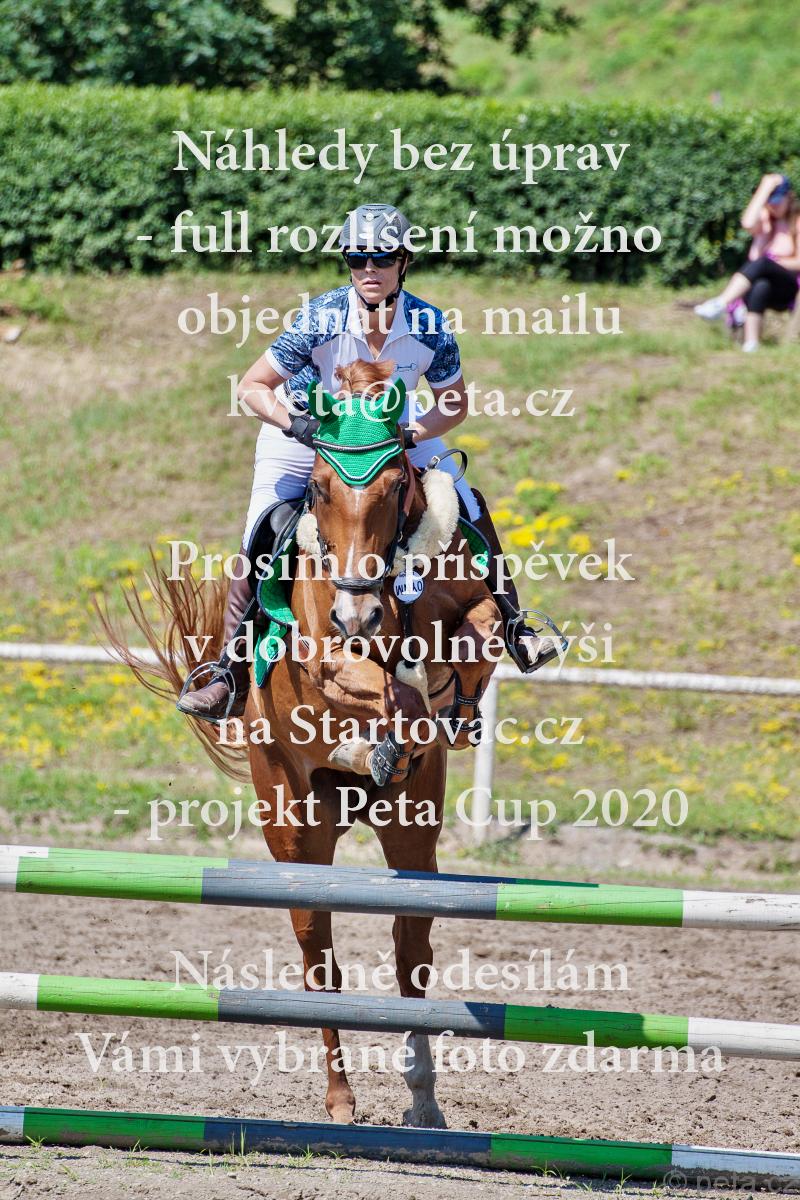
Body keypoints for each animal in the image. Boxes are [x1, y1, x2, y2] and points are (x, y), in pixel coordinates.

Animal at [102, 357, 502, 1127]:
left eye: (396, 484)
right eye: (318, 486)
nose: (357, 611)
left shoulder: (470, 608)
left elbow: (477, 637)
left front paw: (447, 709)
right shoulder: (325, 662)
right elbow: (382, 688)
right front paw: (386, 727)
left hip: (412, 831)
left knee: (410, 953)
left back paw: (423, 1101)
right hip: (295, 830)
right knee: (322, 964)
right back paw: (341, 1101)